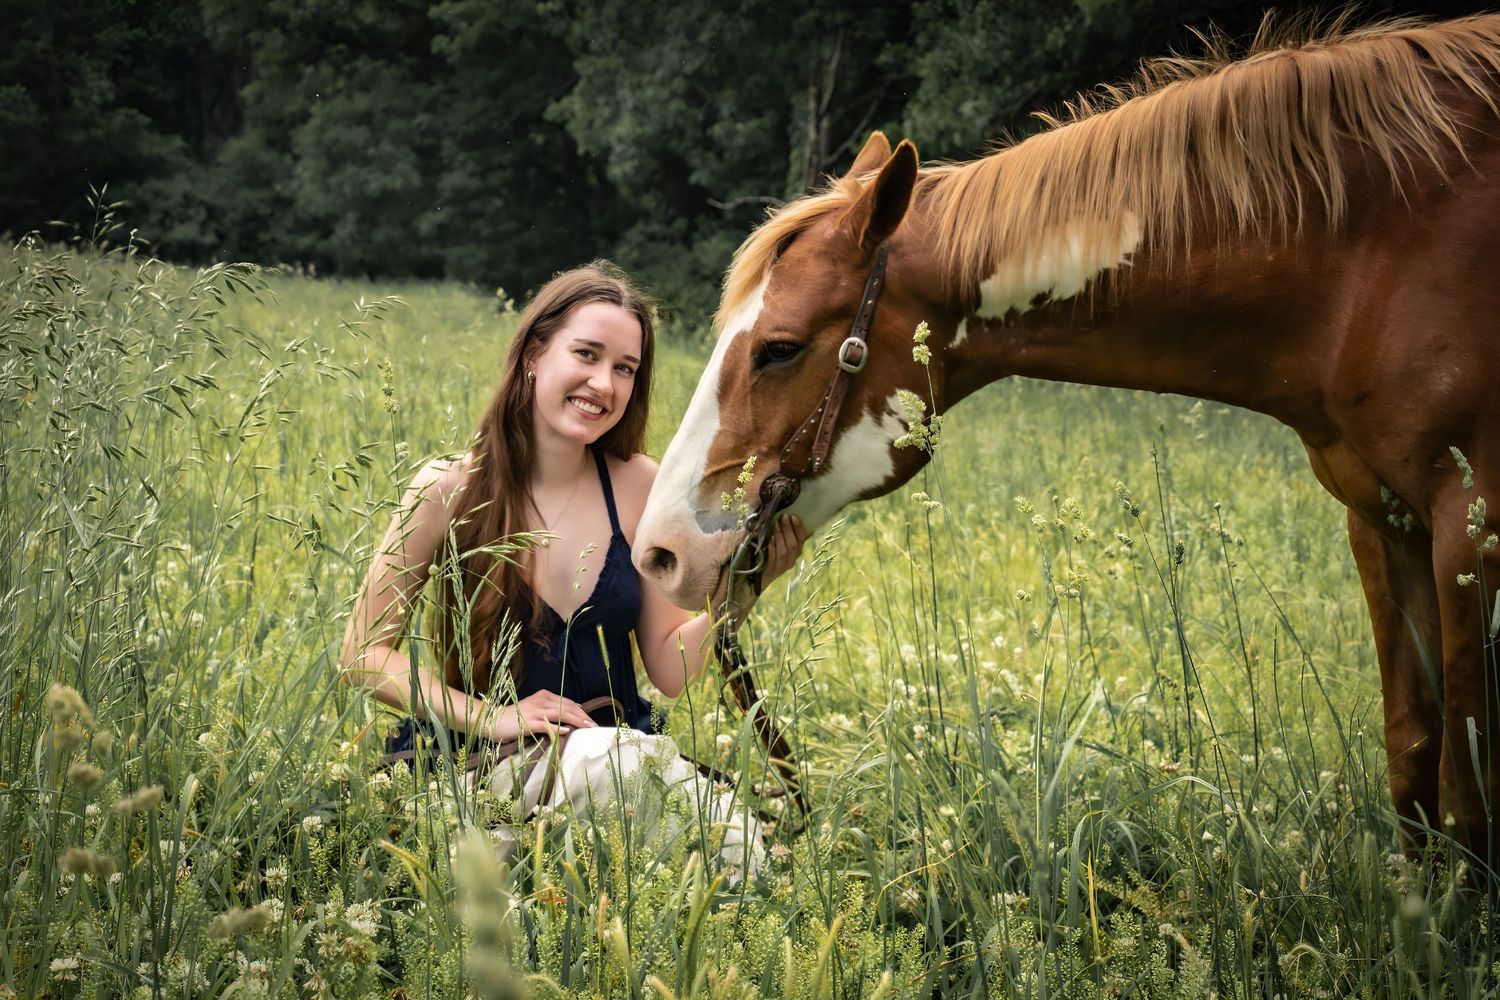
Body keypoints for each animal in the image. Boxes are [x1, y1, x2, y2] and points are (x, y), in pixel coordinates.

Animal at [632, 14, 1500, 858]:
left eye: (778, 348)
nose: (660, 550)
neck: (1366, 257)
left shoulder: (1468, 531)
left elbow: (1469, 793)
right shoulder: (1380, 520)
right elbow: (1413, 758)